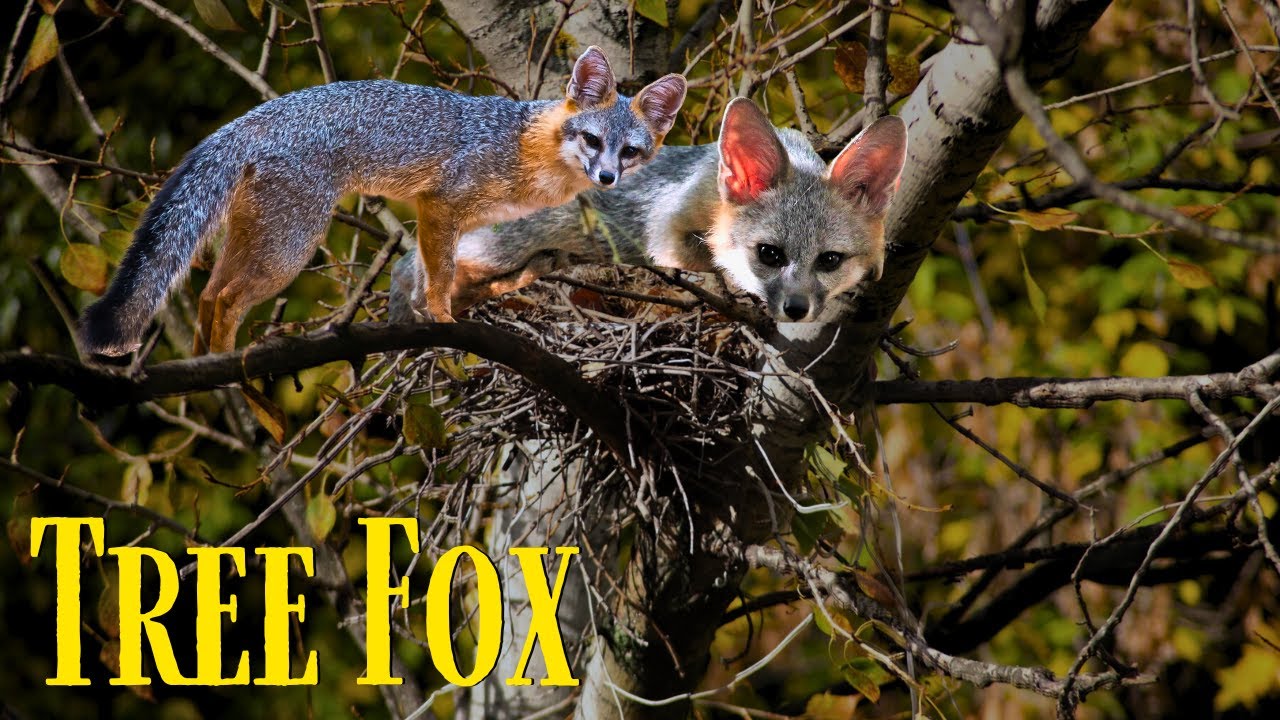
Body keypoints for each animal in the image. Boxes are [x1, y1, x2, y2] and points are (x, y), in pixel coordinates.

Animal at [77, 47, 687, 357]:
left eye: (630, 151)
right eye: (592, 141)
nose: (606, 177)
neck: (524, 148)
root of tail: (254, 115)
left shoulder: (464, 221)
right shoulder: (440, 206)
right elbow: (438, 275)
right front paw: (439, 318)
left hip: (263, 237)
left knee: (208, 293)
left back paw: (210, 364)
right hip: (290, 249)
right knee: (225, 297)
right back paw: (229, 362)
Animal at [389, 98, 907, 324]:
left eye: (830, 260)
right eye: (770, 254)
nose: (796, 310)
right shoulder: (666, 230)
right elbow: (702, 261)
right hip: (489, 253)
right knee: (419, 279)